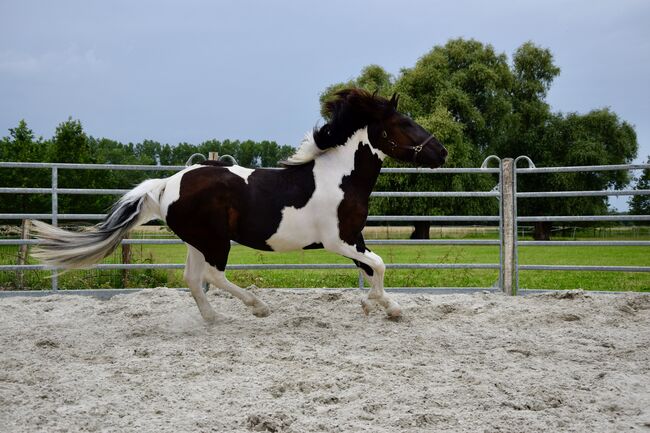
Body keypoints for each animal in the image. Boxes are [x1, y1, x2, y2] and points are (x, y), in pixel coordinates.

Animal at [30, 88, 446, 320]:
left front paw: (378, 306)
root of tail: (165, 186)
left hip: (198, 241)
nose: (441, 152)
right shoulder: (339, 240)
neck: (340, 178)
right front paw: (383, 306)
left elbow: (373, 267)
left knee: (193, 279)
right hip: (216, 241)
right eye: (405, 124)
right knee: (213, 276)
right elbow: (379, 264)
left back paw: (214, 319)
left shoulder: (354, 238)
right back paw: (258, 307)